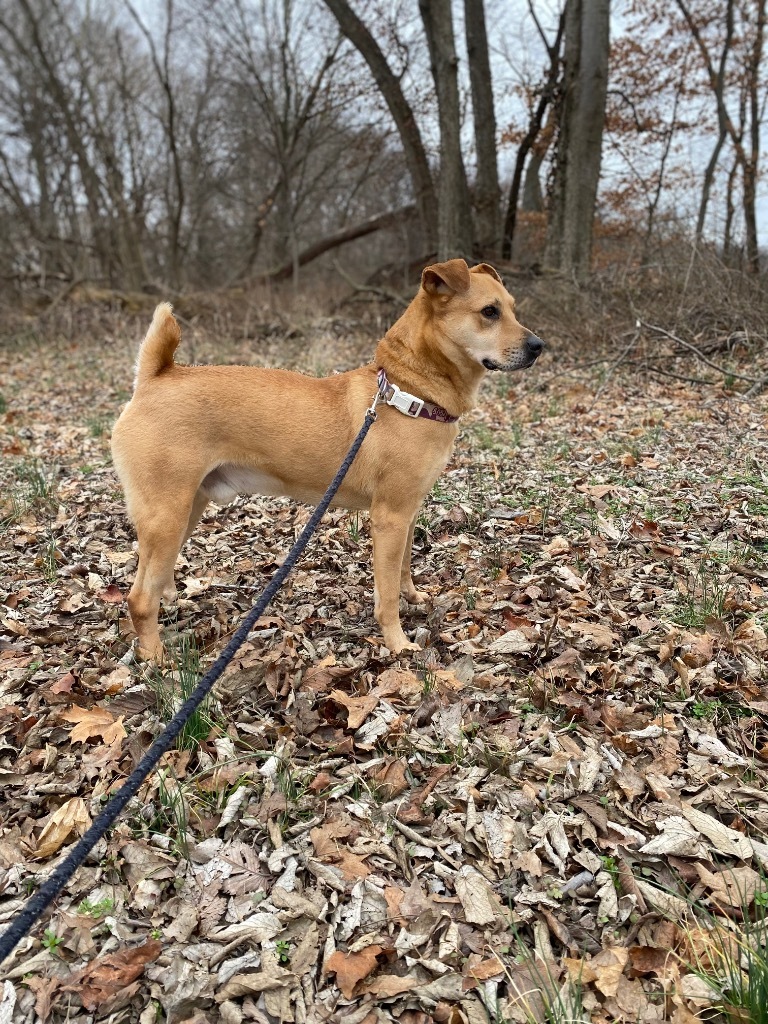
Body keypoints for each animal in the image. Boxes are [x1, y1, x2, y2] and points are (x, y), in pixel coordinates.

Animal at [112, 256, 548, 655]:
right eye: (489, 312)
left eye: (512, 307)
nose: (539, 347)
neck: (409, 392)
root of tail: (152, 378)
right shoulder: (389, 518)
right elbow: (386, 593)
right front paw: (397, 642)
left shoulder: (409, 511)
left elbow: (404, 568)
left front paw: (413, 597)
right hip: (168, 515)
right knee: (139, 597)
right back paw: (156, 660)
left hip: (186, 510)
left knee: (153, 577)